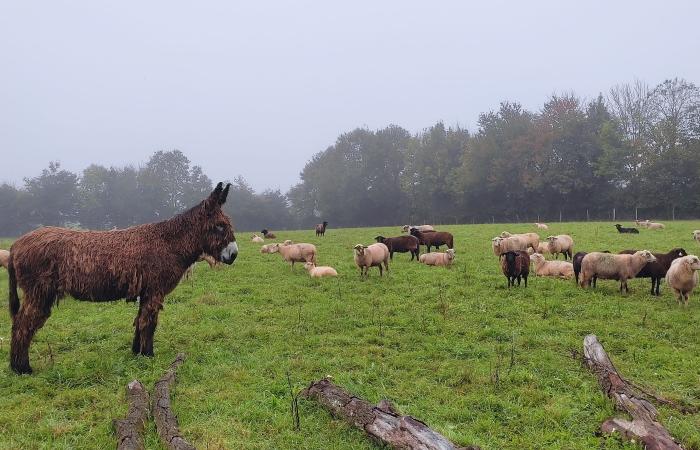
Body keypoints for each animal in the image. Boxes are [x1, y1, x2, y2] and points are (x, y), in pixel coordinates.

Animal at [7, 181, 238, 374]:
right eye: (220, 226)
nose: (234, 255)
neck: (169, 243)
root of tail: (16, 244)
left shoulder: (146, 291)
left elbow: (140, 321)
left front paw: (137, 352)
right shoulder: (155, 291)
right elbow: (149, 323)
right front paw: (148, 355)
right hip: (39, 292)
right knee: (22, 325)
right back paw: (22, 369)